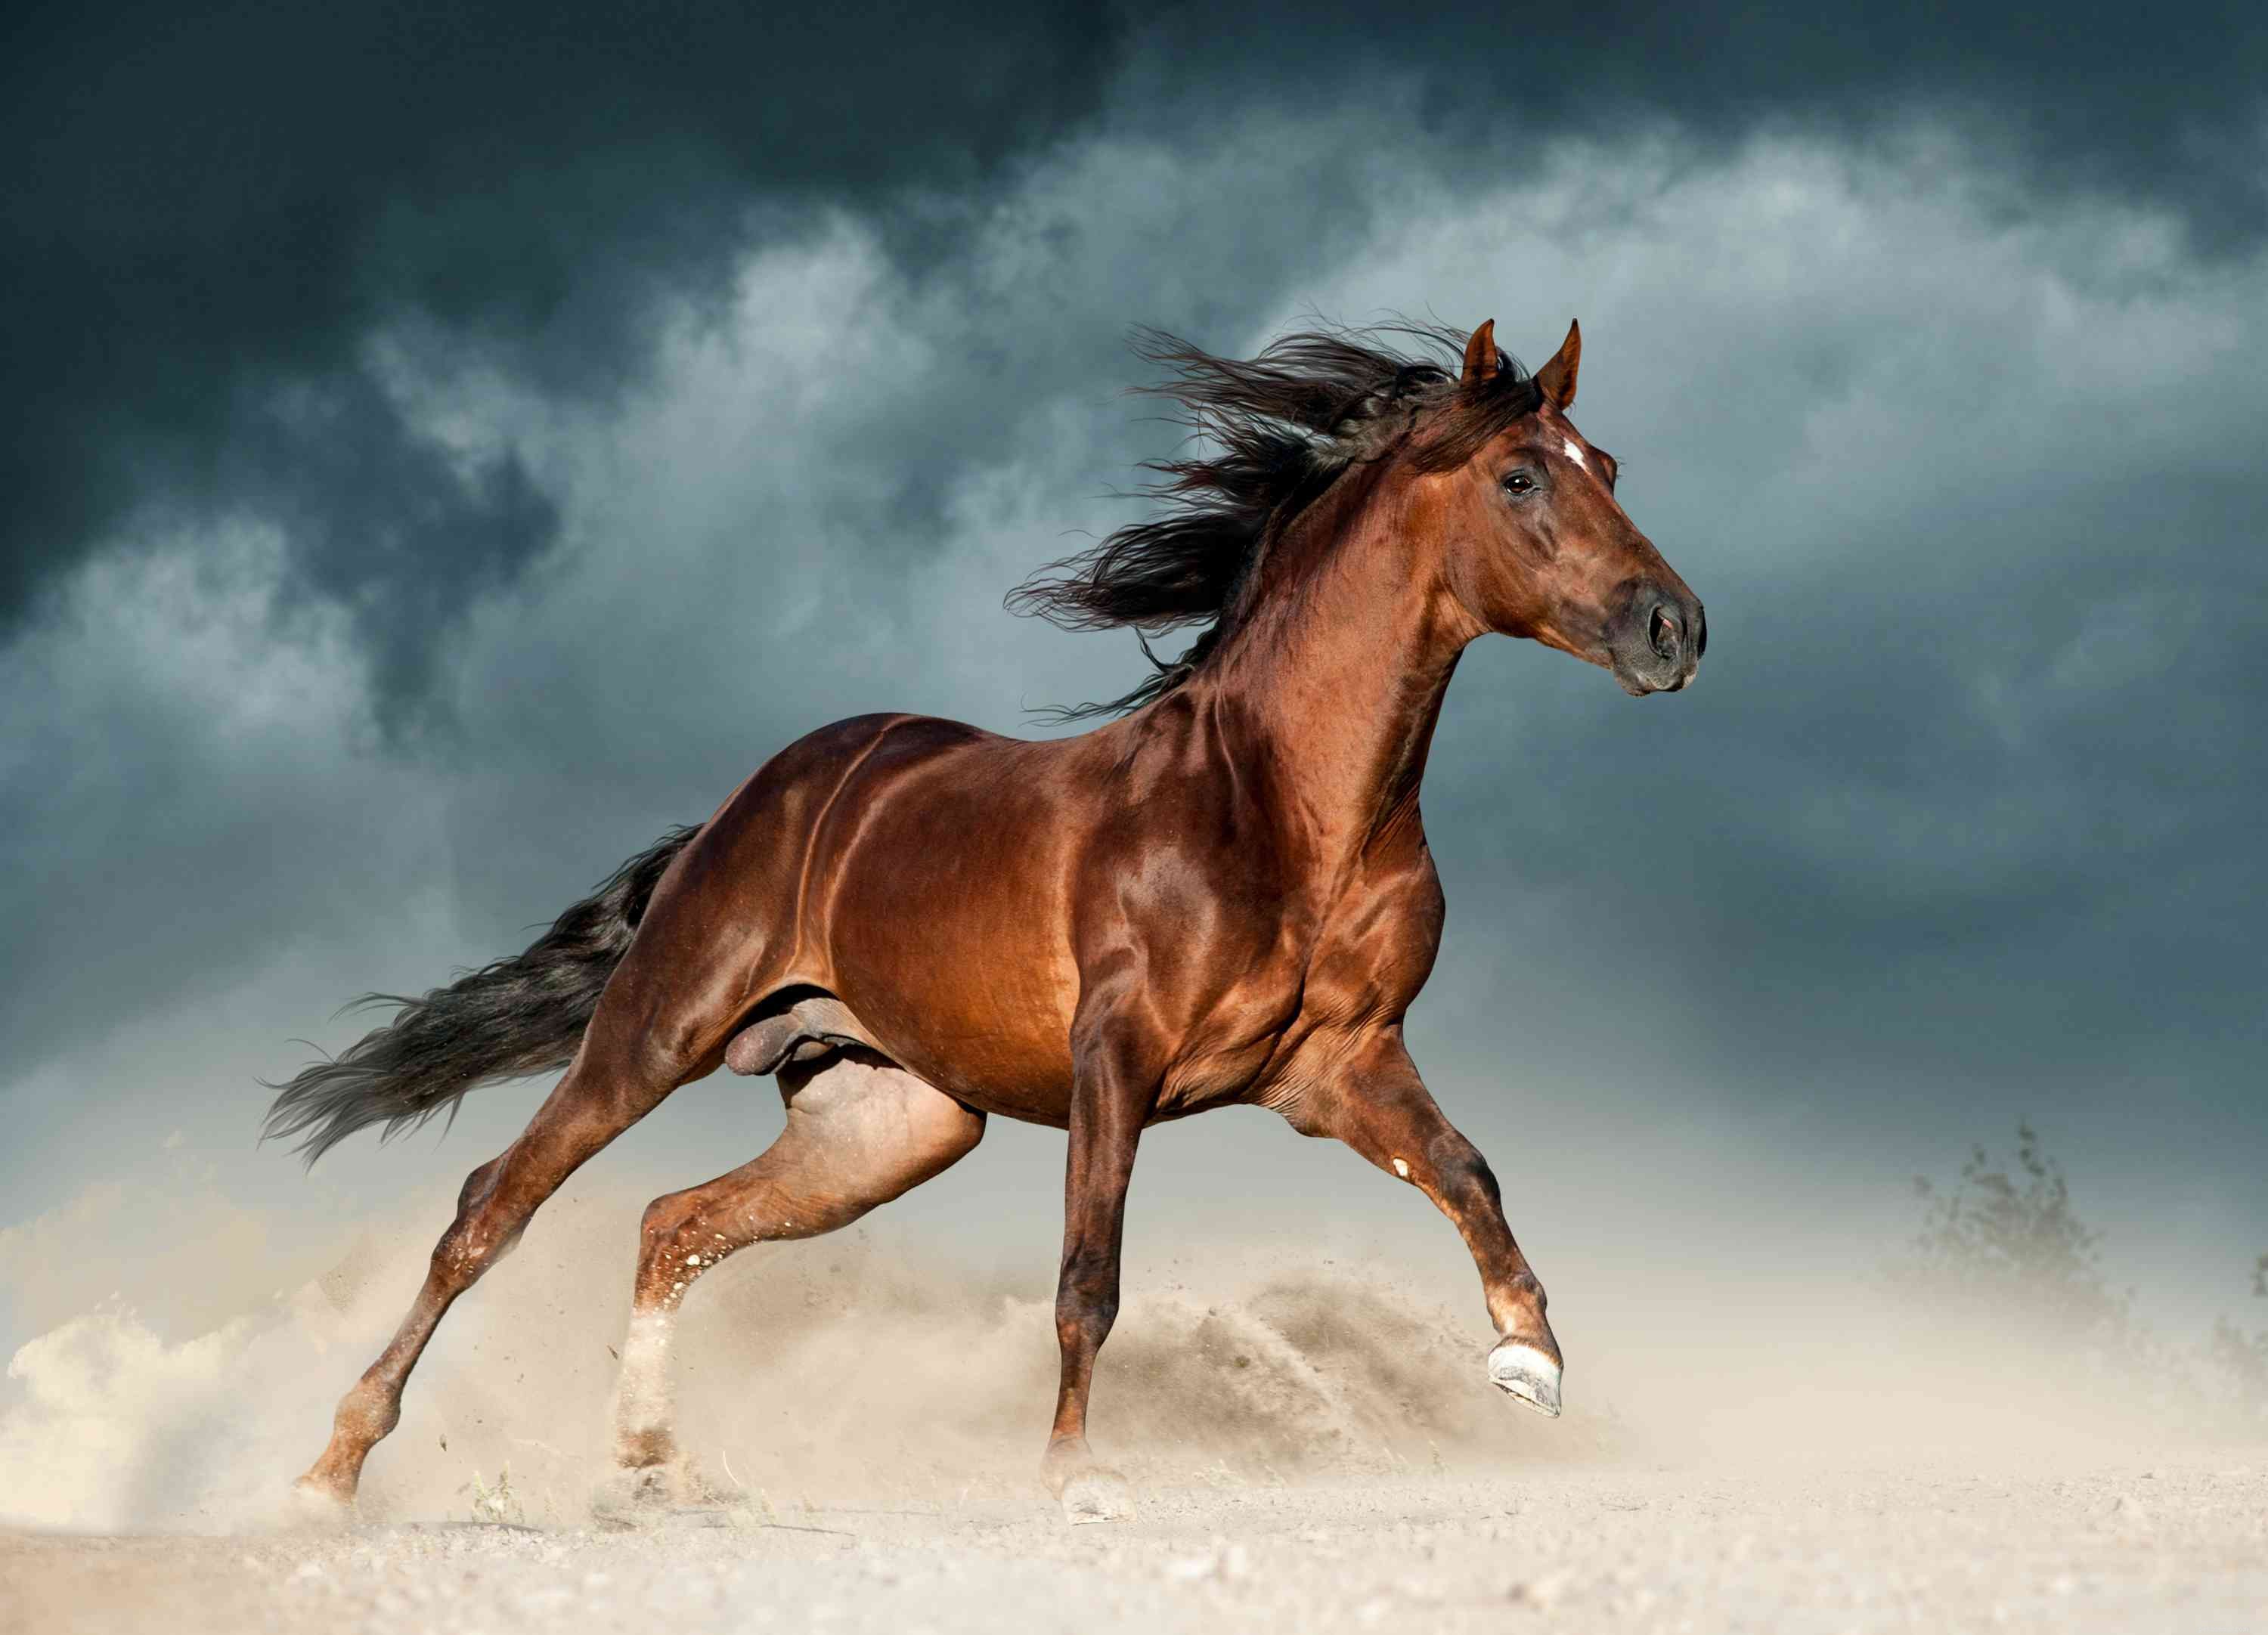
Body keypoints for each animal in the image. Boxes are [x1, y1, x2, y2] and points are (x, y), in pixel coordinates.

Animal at [266, 315, 1706, 1522]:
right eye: (1521, 479)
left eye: (1608, 463)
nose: (1675, 628)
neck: (1283, 805)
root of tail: (763, 796)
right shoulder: (1114, 1058)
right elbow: (1089, 1279)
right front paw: (1070, 1476)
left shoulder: (1337, 1065)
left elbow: (1467, 1170)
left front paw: (1529, 1358)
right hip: (657, 1030)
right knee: (488, 1208)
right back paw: (330, 1470)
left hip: (888, 1120)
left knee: (673, 1225)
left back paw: (648, 1464)